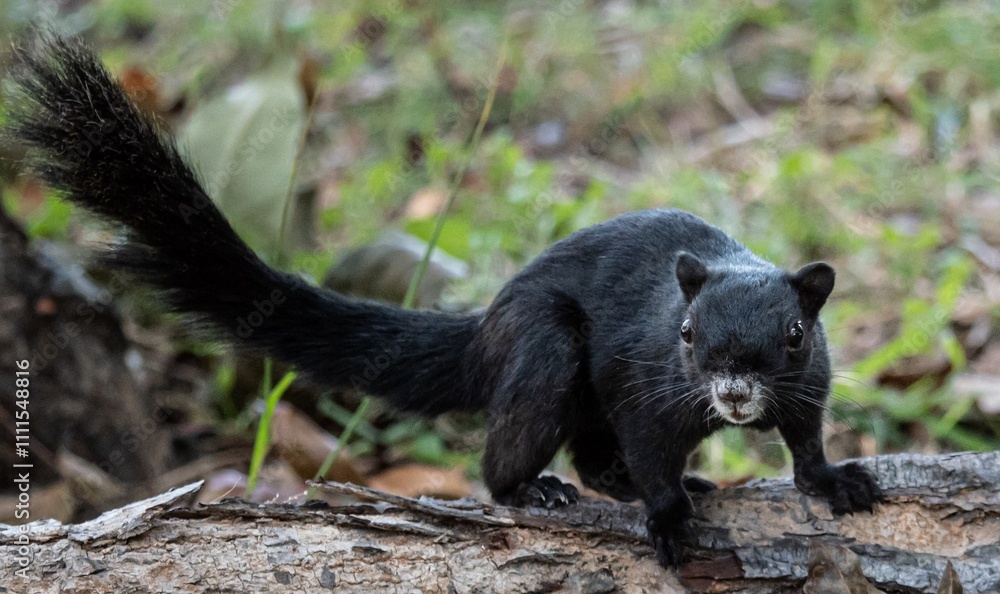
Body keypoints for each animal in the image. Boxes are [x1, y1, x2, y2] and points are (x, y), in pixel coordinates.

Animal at [4, 36, 883, 568]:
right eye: (690, 333)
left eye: (795, 334)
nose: (732, 393)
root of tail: (486, 329)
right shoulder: (646, 384)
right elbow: (651, 451)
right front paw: (668, 521)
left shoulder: (809, 386)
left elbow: (805, 441)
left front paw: (835, 481)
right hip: (549, 349)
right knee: (521, 459)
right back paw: (538, 490)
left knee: (593, 455)